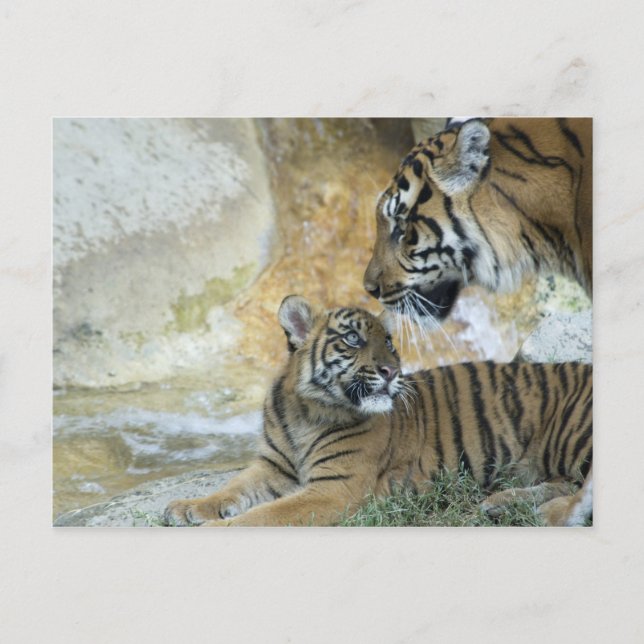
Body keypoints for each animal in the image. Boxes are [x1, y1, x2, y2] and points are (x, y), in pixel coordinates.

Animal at [163, 295, 592, 527]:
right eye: (353, 339)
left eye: (388, 342)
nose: (391, 371)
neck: (307, 411)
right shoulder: (273, 466)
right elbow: (232, 488)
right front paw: (186, 508)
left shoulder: (334, 489)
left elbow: (265, 514)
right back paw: (501, 503)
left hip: (573, 435)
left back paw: (544, 512)